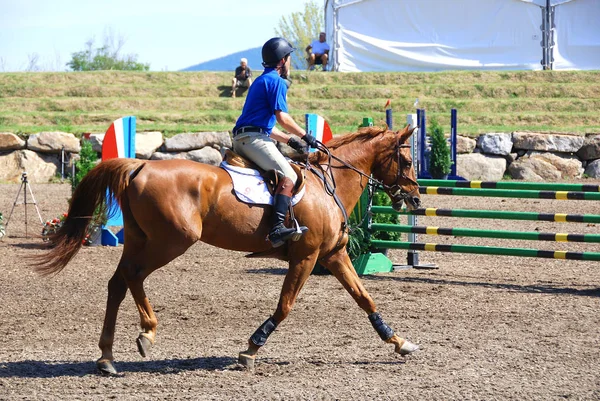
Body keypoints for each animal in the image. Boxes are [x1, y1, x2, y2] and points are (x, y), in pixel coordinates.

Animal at [35, 124, 420, 372]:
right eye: (407, 161)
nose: (416, 199)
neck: (329, 184)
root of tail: (140, 164)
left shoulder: (333, 255)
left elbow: (364, 298)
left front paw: (399, 341)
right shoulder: (307, 257)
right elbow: (285, 306)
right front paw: (251, 348)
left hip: (139, 238)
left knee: (117, 282)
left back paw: (107, 357)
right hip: (171, 241)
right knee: (133, 275)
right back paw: (147, 332)